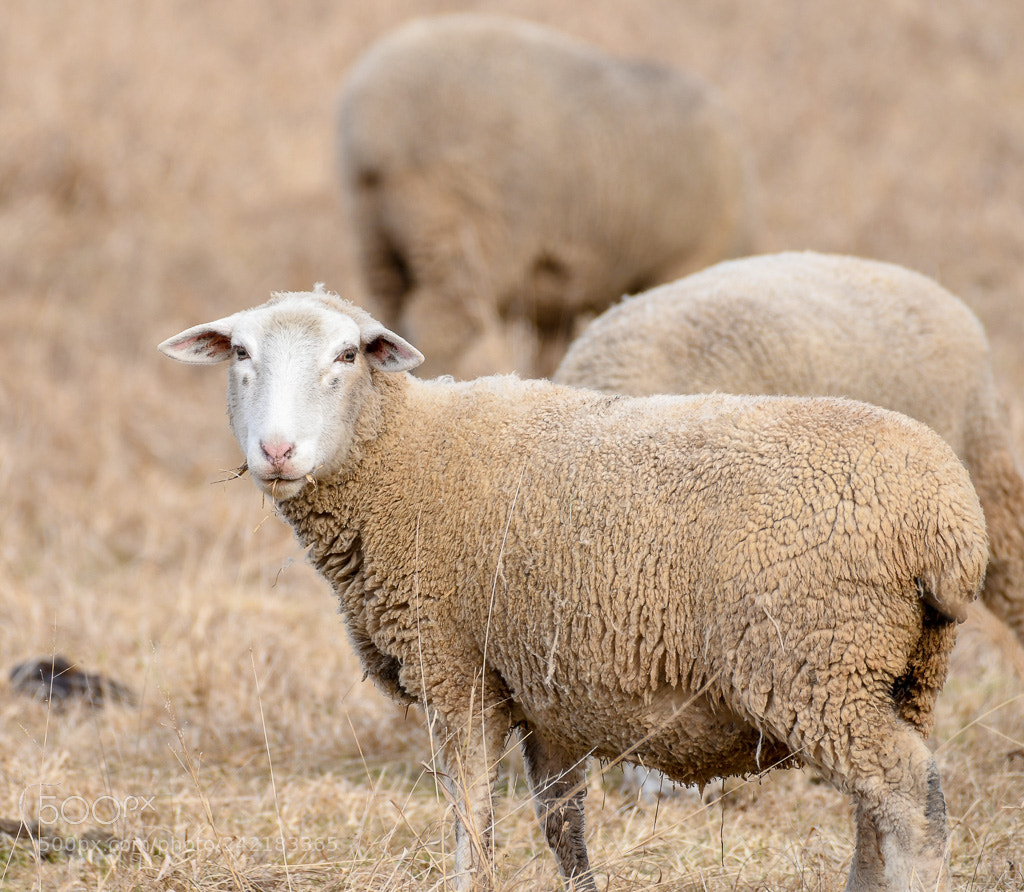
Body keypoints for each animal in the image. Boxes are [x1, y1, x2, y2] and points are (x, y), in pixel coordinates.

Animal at [159, 287, 987, 891]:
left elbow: (472, 819)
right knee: (880, 812)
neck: (400, 456)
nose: (277, 450)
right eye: (240, 353)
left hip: (814, 660)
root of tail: (946, 518)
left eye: (347, 354)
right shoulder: (542, 692)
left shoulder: (457, 670)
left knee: (909, 800)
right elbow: (563, 827)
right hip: (896, 671)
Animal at [336, 13, 754, 379]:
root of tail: (374, 129)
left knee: (390, 313)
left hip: (375, 240)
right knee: (439, 327)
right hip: (467, 233)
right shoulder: (682, 263)